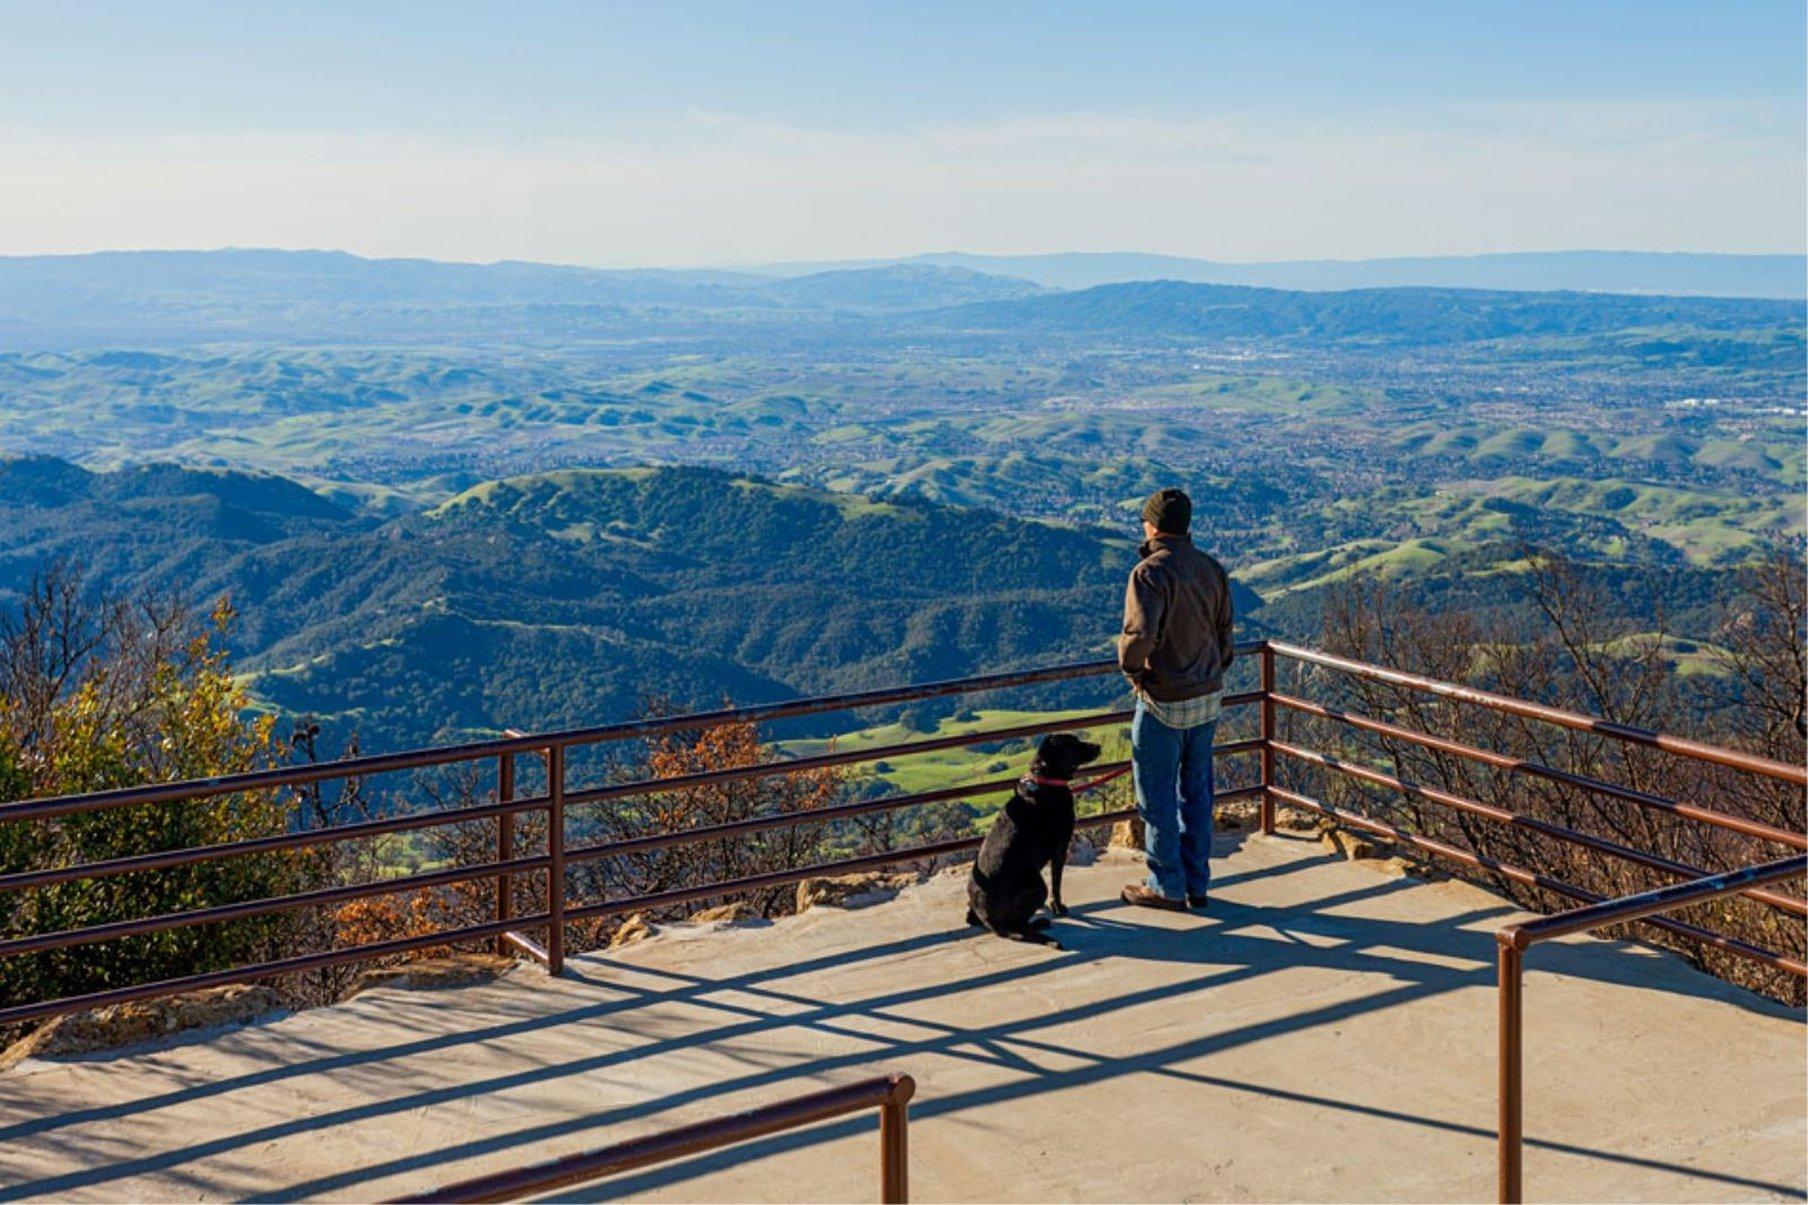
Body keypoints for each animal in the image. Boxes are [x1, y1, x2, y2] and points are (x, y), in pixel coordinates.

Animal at [961, 727, 1099, 940]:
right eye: (1073, 744)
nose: (1098, 746)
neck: (1046, 778)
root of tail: (990, 921)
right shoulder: (1060, 847)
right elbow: (1056, 884)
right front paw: (1058, 908)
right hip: (1038, 887)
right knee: (1020, 924)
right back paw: (1038, 923)